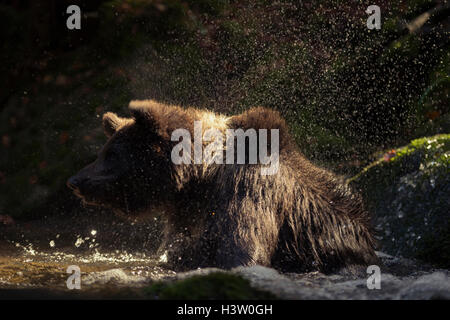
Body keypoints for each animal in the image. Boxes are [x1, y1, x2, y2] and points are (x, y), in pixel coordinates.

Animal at [66, 100, 376, 272]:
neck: (202, 182)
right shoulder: (187, 217)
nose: (75, 181)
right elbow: (179, 252)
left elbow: (242, 252)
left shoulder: (247, 194)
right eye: (103, 152)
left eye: (112, 154)